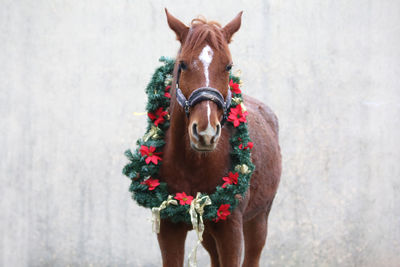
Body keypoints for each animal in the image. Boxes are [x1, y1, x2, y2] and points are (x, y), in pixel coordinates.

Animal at [156, 9, 282, 266]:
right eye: (183, 64)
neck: (193, 165)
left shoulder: (230, 229)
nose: (205, 133)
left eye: (228, 66)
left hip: (259, 218)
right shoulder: (168, 227)